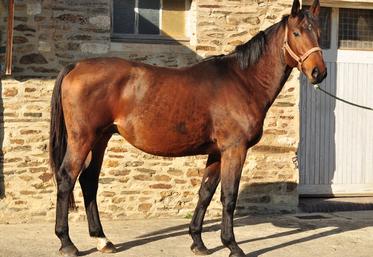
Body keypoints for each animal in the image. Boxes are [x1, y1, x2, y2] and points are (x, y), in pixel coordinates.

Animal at [48, 1, 326, 255]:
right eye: (297, 33)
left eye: (319, 33)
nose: (318, 72)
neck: (243, 81)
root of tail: (76, 66)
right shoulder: (234, 150)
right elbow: (229, 197)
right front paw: (232, 245)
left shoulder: (217, 152)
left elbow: (205, 192)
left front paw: (198, 242)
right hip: (83, 139)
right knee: (67, 178)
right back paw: (67, 243)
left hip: (100, 139)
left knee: (89, 180)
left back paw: (102, 240)